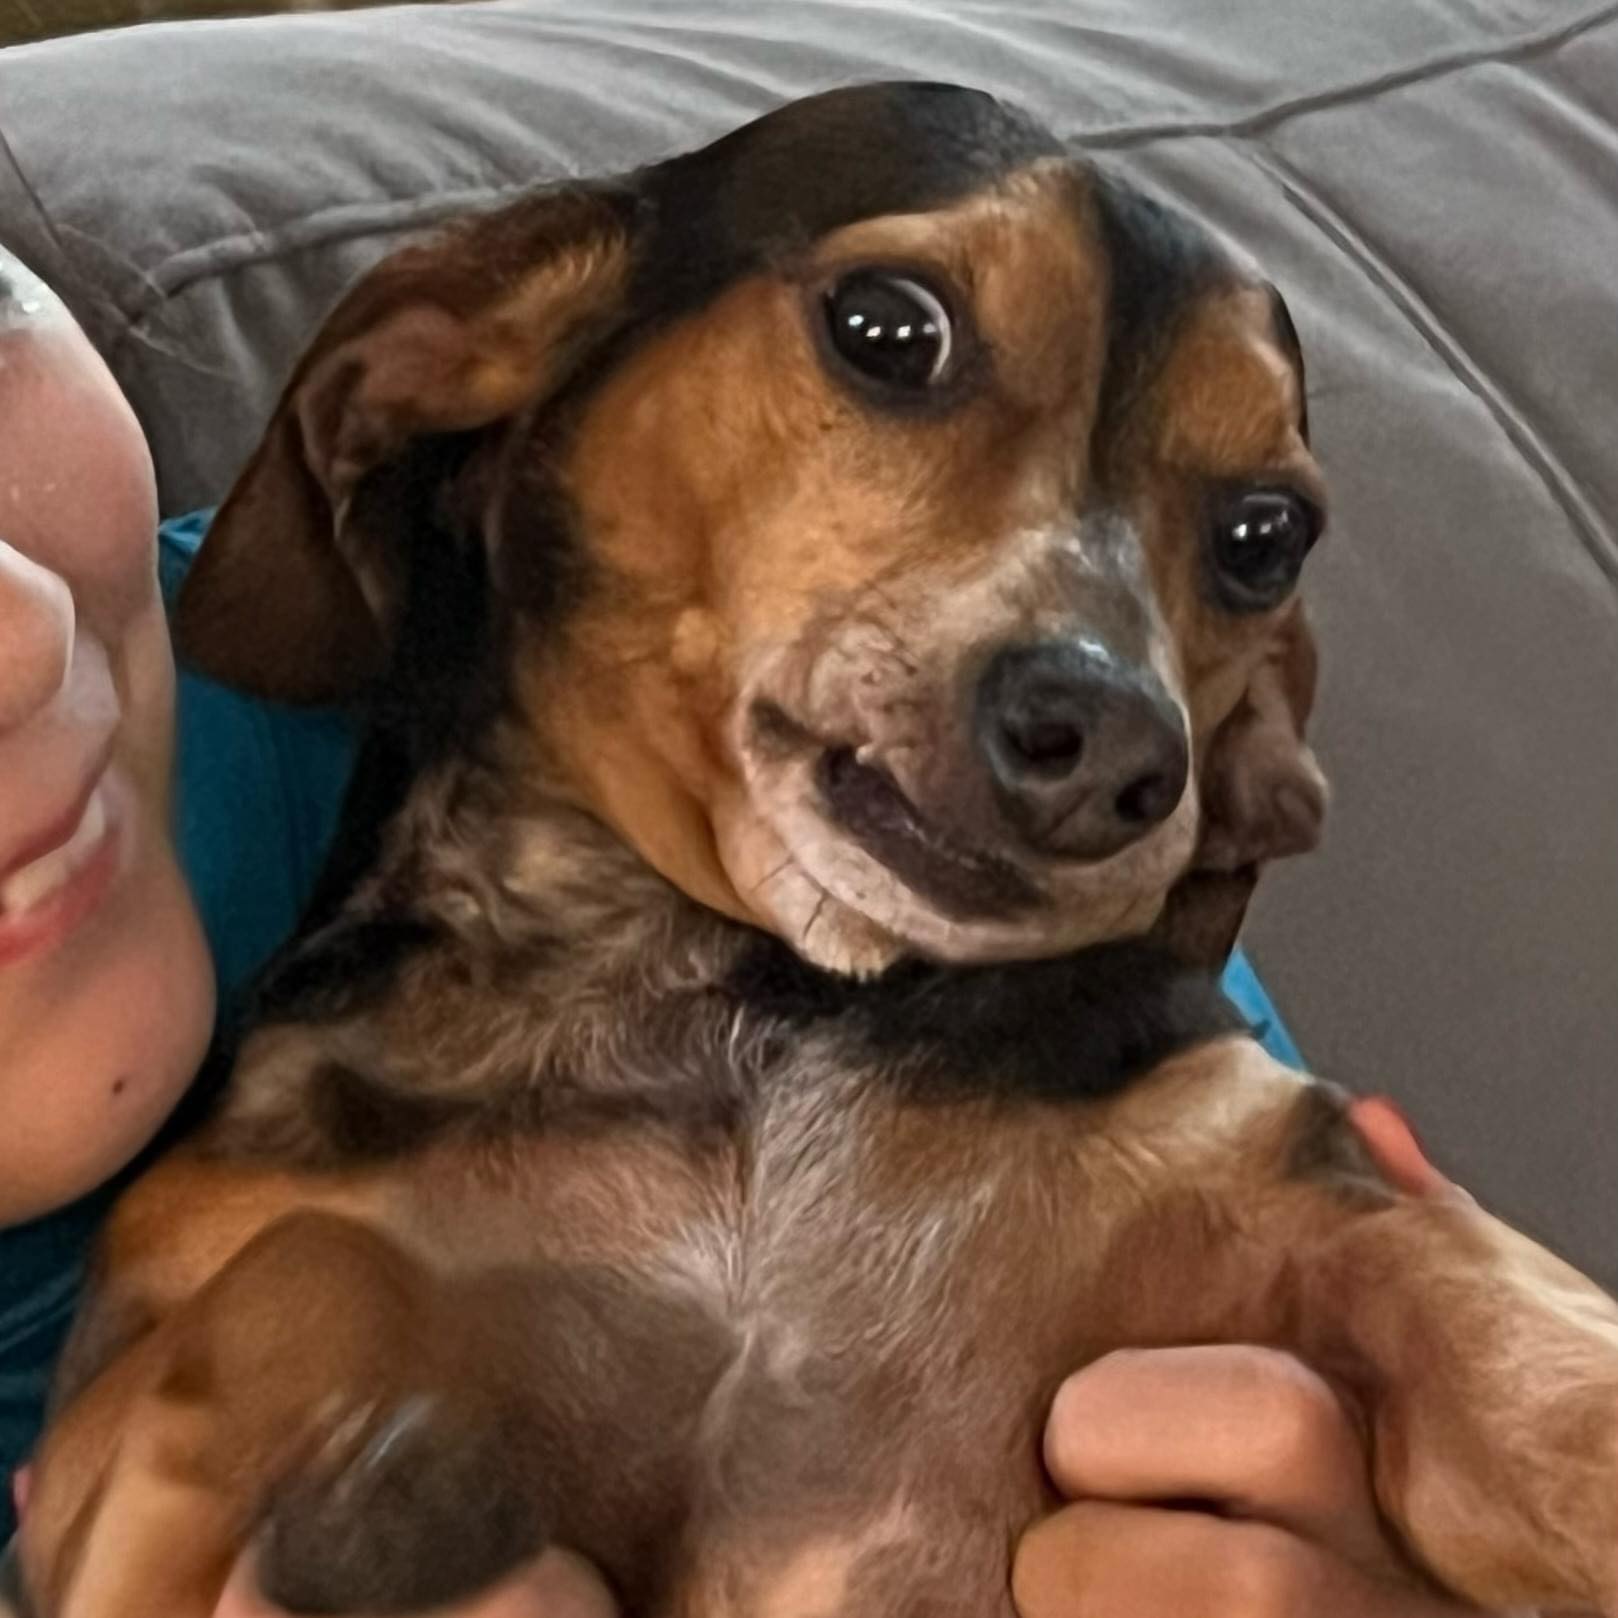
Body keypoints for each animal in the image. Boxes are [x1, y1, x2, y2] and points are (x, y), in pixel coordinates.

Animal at [20, 84, 1618, 1618]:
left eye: (1266, 533)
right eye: (889, 329)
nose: (1115, 745)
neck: (739, 1011)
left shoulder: (1291, 1173)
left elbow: (1503, 1325)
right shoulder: (147, 1336)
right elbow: (311, 1268)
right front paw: (346, 1488)